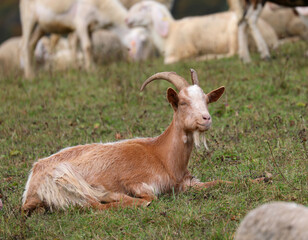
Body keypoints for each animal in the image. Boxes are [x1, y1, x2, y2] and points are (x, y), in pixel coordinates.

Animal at [21, 68, 233, 213]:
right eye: (183, 103)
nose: (206, 119)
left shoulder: (187, 182)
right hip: (65, 179)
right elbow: (150, 195)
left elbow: (223, 181)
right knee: (95, 204)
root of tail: (30, 186)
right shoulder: (135, 181)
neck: (163, 156)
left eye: (206, 100)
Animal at [126, 0, 278, 63]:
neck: (169, 34)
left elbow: (168, 61)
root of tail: (272, 36)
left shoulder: (187, 50)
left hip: (233, 31)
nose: (127, 20)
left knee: (233, 53)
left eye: (143, 8)